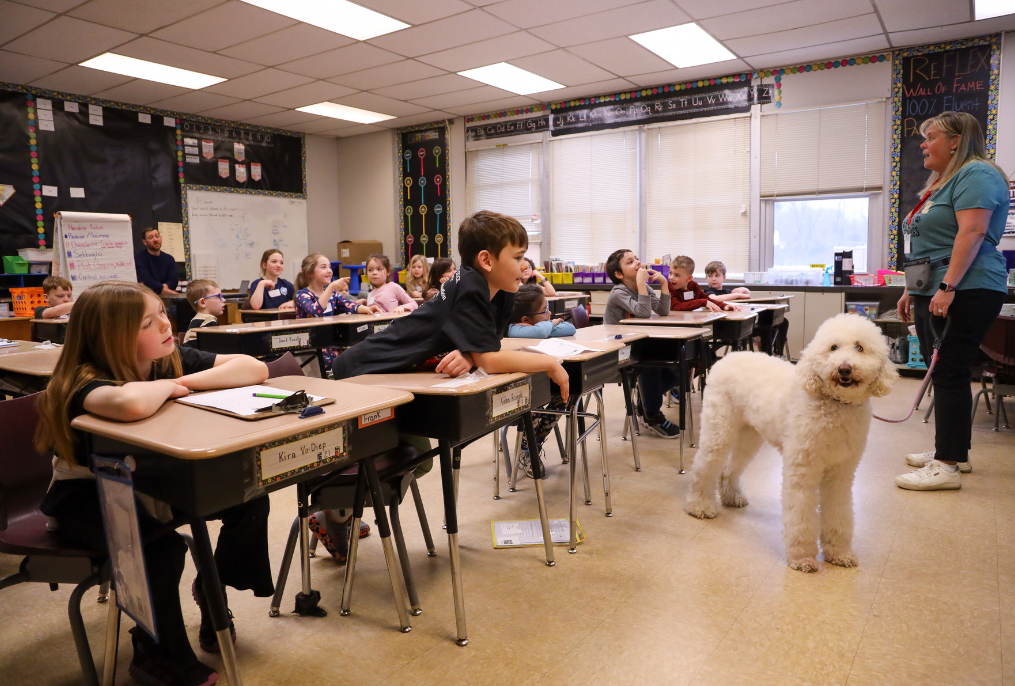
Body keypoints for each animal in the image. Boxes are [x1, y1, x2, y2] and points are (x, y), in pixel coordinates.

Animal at [682, 312, 897, 572]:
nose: (844, 368)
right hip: (720, 430)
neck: (835, 406)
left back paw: (731, 497)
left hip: (749, 435)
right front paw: (802, 558)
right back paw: (699, 506)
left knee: (729, 468)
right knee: (703, 467)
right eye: (833, 347)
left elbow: (839, 511)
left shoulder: (841, 472)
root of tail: (728, 357)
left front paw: (839, 553)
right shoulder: (802, 468)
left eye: (860, 347)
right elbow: (801, 515)